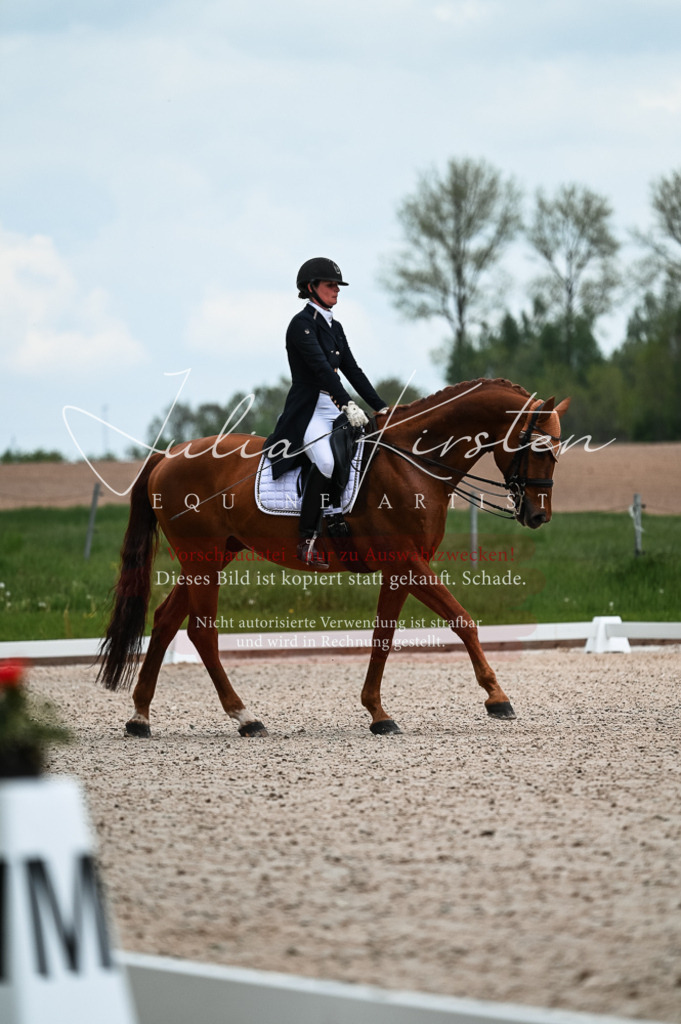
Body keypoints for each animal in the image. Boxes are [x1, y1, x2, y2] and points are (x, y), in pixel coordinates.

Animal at [98, 378, 570, 737]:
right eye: (538, 448)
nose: (538, 515)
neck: (414, 464)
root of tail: (168, 455)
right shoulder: (407, 561)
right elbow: (463, 620)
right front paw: (497, 697)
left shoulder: (399, 568)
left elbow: (383, 637)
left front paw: (378, 714)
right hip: (203, 559)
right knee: (201, 632)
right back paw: (245, 717)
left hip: (212, 557)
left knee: (164, 621)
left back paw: (140, 718)